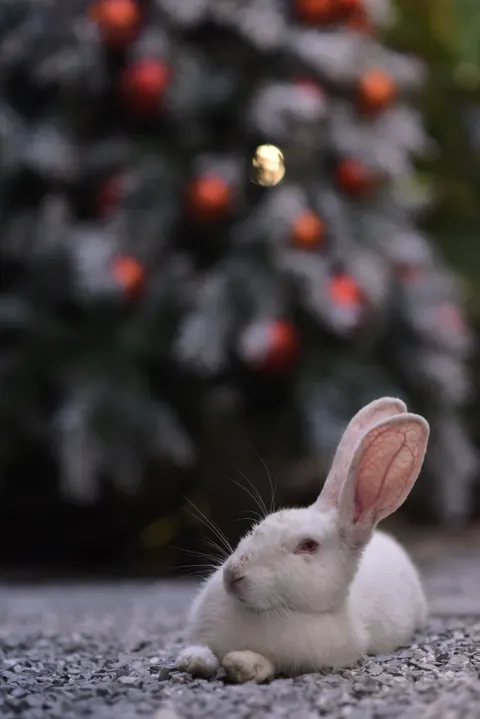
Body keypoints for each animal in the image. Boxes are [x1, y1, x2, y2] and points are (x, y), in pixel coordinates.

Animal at [176, 397, 429, 684]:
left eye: (308, 546)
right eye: (259, 526)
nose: (232, 575)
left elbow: (266, 663)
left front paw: (241, 663)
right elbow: (202, 650)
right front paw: (193, 660)